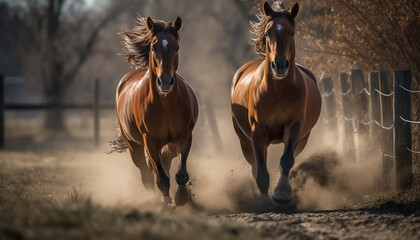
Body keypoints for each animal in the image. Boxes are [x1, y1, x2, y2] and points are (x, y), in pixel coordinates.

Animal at [115, 15, 199, 205]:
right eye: (153, 47)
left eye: (177, 47)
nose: (165, 82)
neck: (165, 104)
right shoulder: (150, 142)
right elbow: (161, 178)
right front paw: (165, 201)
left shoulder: (184, 136)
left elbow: (181, 174)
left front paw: (181, 197)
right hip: (134, 146)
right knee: (146, 173)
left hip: (170, 143)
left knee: (166, 160)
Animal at [230, 1, 322, 203]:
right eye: (267, 33)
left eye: (292, 32)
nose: (279, 65)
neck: (277, 91)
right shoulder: (257, 131)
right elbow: (261, 171)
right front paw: (264, 202)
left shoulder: (294, 126)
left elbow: (286, 160)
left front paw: (281, 193)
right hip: (245, 140)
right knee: (255, 165)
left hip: (303, 138)